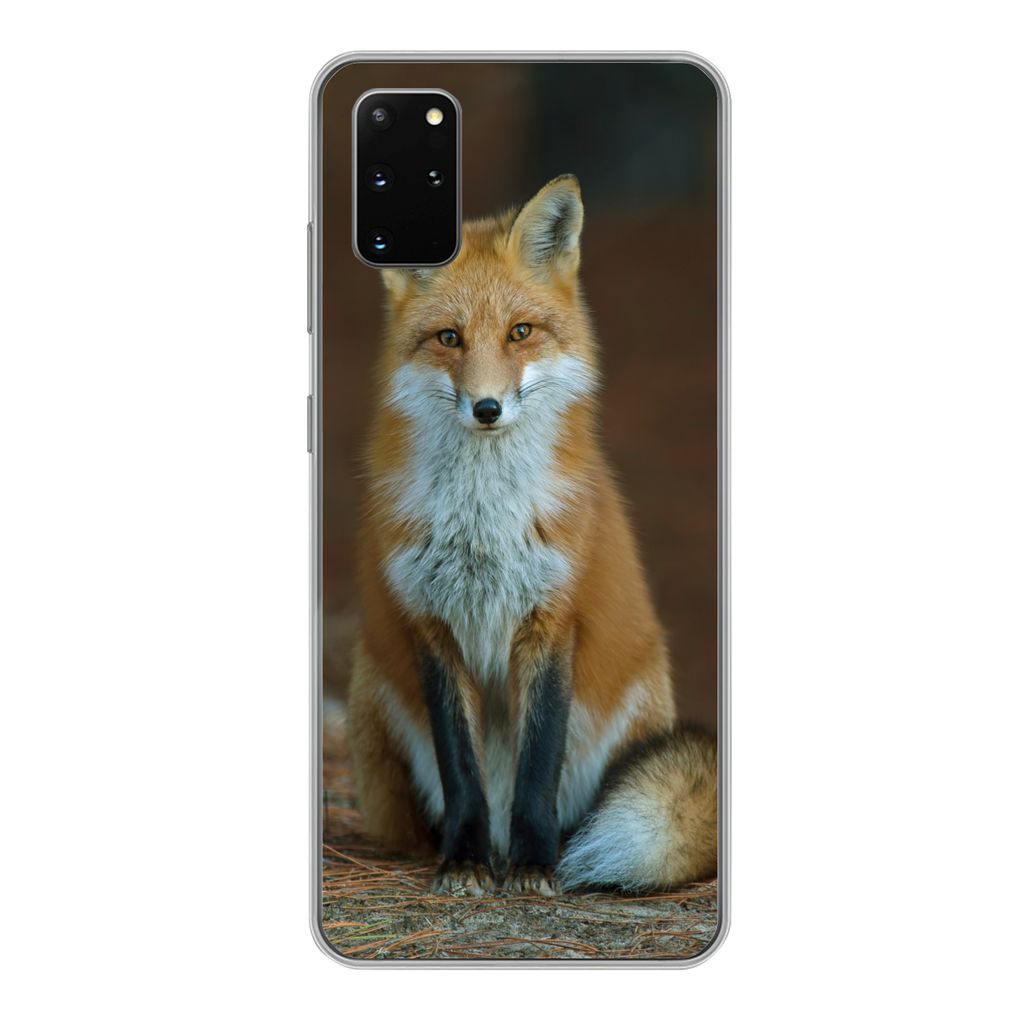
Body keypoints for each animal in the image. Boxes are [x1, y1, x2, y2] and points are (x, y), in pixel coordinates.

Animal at [345, 174, 717, 896]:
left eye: (520, 332)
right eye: (450, 338)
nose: (487, 408)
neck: (483, 525)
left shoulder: (551, 616)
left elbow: (537, 765)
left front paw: (534, 863)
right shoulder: (431, 622)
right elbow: (460, 769)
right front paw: (463, 861)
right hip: (370, 686)